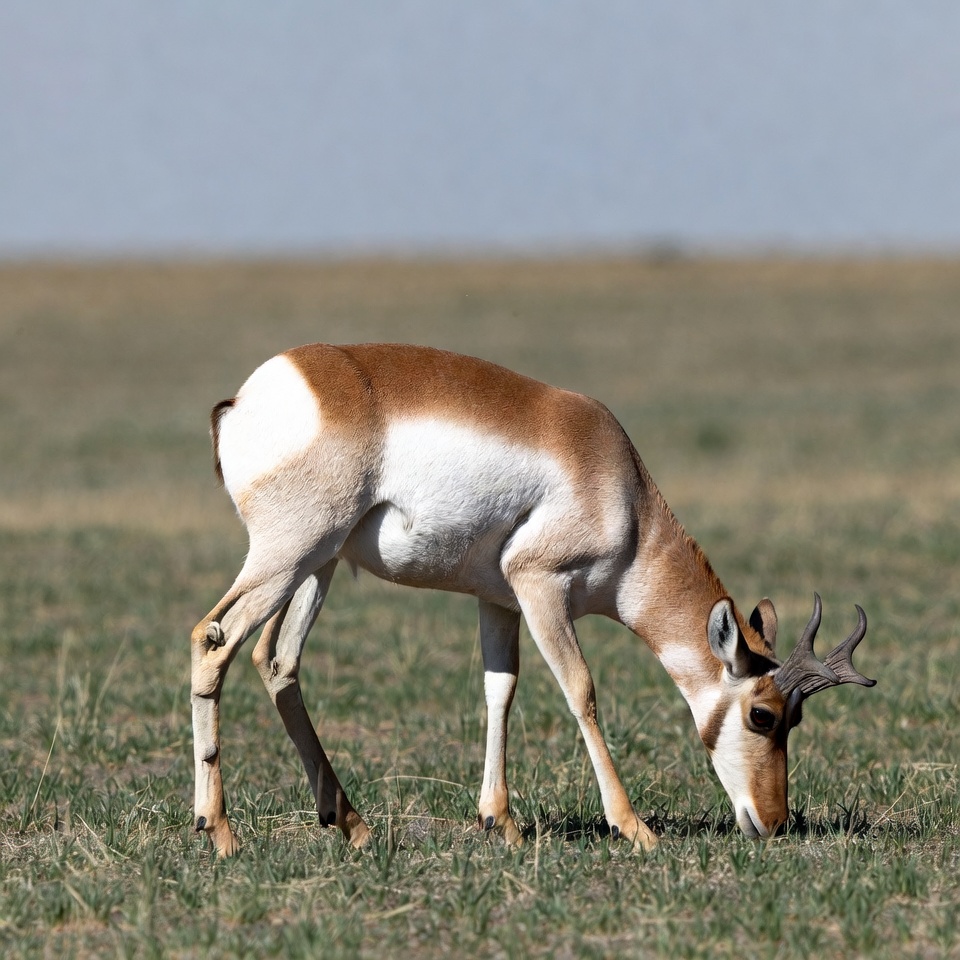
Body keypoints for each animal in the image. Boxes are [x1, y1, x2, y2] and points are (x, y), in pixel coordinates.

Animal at [191, 342, 874, 857]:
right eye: (763, 714)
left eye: (795, 718)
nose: (774, 821)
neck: (616, 482)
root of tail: (250, 398)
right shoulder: (538, 585)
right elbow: (581, 689)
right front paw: (635, 828)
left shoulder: (497, 600)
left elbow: (500, 688)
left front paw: (502, 822)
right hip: (288, 556)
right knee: (213, 640)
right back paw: (220, 832)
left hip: (318, 565)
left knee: (276, 662)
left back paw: (353, 824)